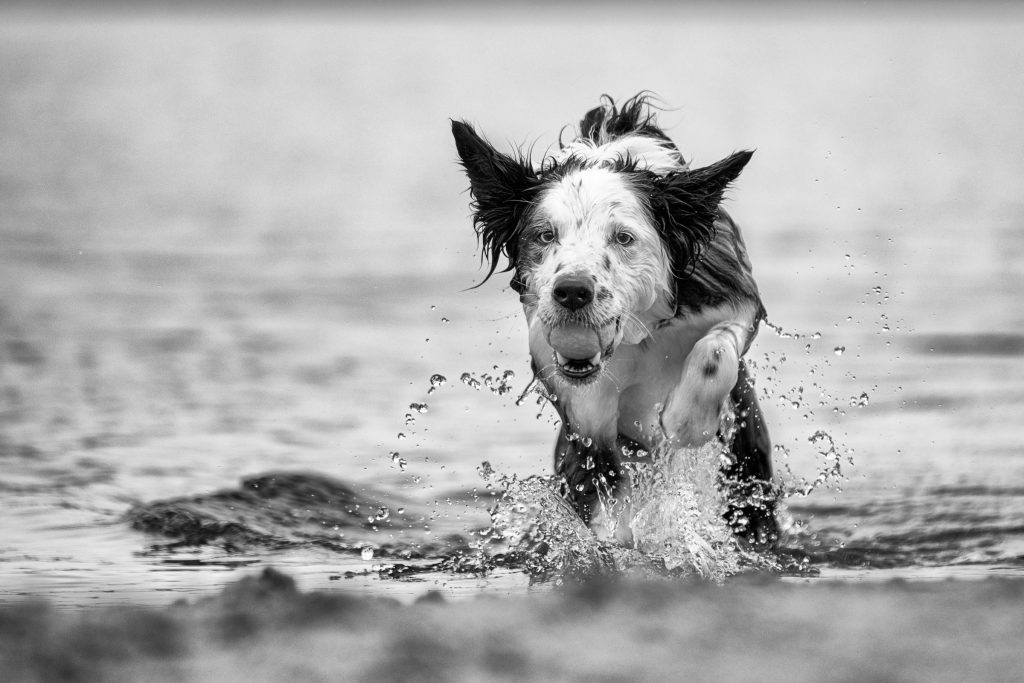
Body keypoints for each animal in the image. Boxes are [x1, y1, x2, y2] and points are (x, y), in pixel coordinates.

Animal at [452, 93, 778, 548]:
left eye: (623, 238)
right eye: (544, 235)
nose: (572, 291)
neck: (637, 336)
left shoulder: (733, 294)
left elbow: (715, 350)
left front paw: (687, 421)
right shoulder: (573, 393)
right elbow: (600, 471)